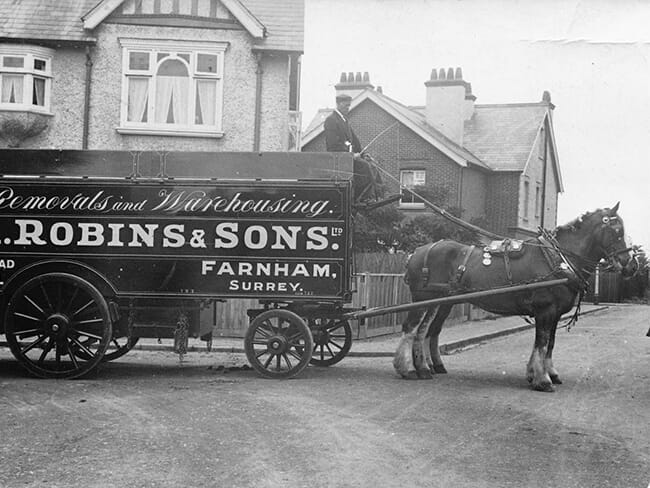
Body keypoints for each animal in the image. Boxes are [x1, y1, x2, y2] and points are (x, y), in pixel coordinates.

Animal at [392, 203, 636, 392]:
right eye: (617, 232)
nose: (632, 265)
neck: (558, 259)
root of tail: (418, 251)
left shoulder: (555, 313)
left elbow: (550, 343)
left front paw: (545, 373)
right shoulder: (545, 310)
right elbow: (542, 342)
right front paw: (542, 380)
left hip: (440, 302)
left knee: (426, 331)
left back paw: (428, 367)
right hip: (423, 299)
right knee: (412, 329)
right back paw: (408, 369)